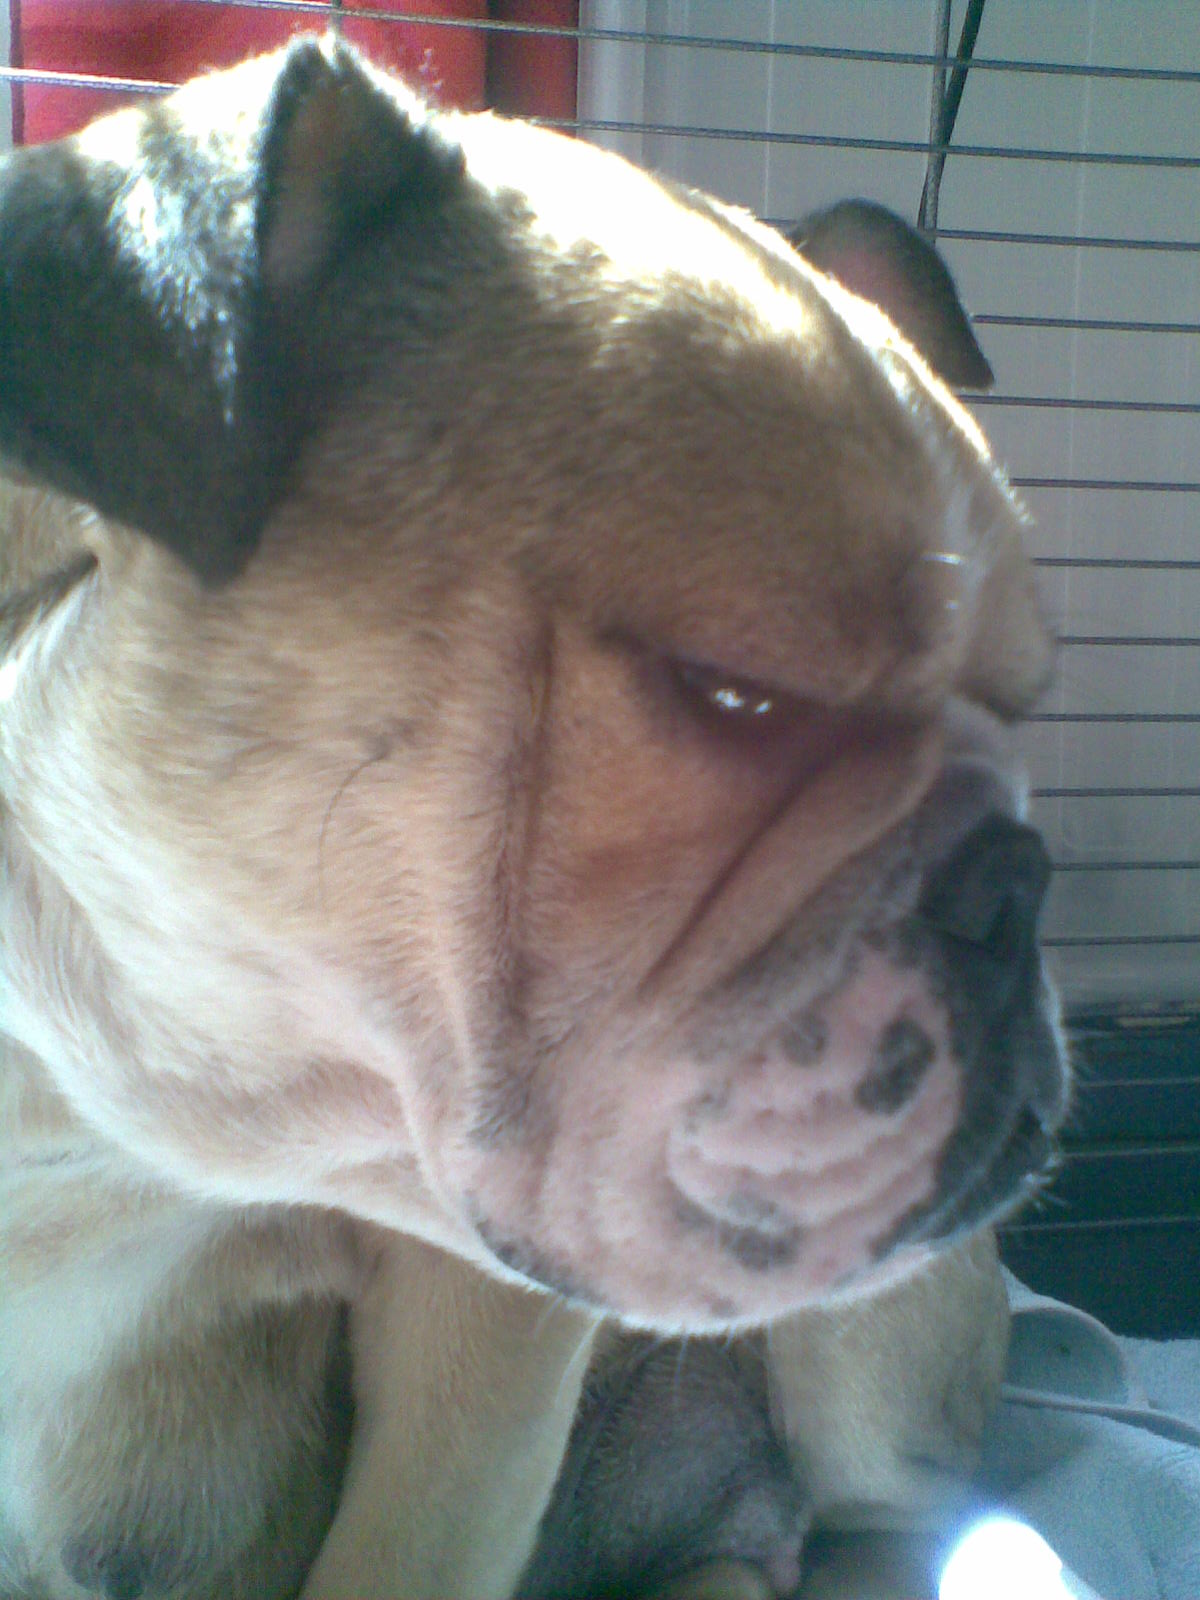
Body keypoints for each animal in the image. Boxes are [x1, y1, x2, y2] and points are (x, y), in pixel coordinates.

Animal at [0, 37, 1066, 1600]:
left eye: (1028, 710)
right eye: (737, 695)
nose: (1016, 884)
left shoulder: (477, 1339)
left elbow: (404, 1555)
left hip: (867, 1361)